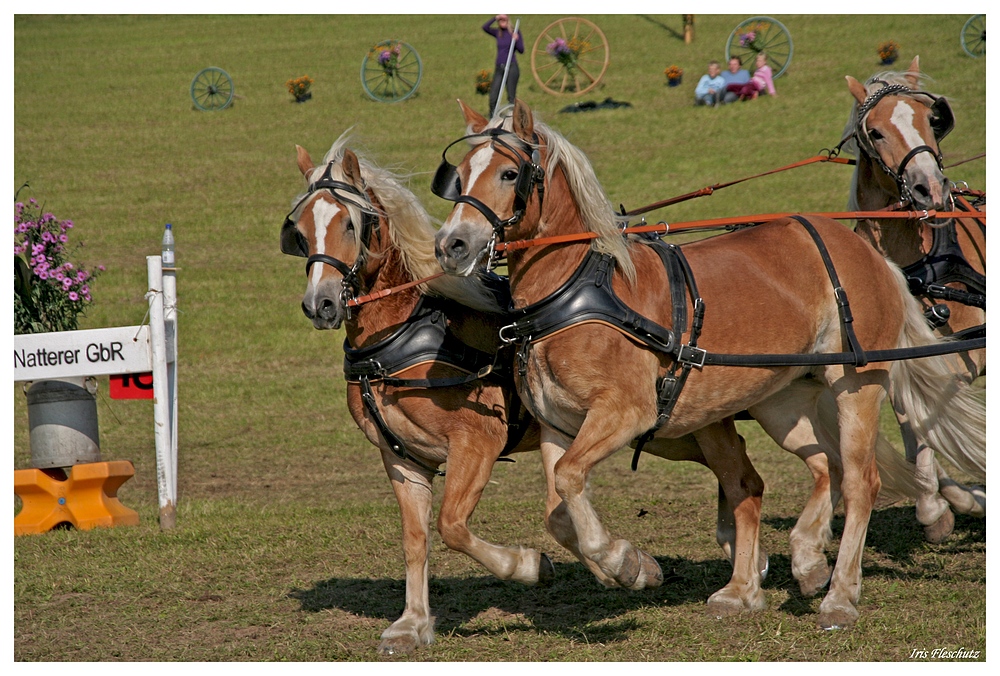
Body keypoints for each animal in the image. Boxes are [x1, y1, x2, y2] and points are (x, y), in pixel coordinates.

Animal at [282, 133, 548, 656]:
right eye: (300, 231)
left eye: (349, 223)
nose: (320, 304)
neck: (403, 331)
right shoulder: (402, 456)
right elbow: (415, 537)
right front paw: (413, 623)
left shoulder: (477, 444)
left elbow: (452, 526)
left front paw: (526, 565)